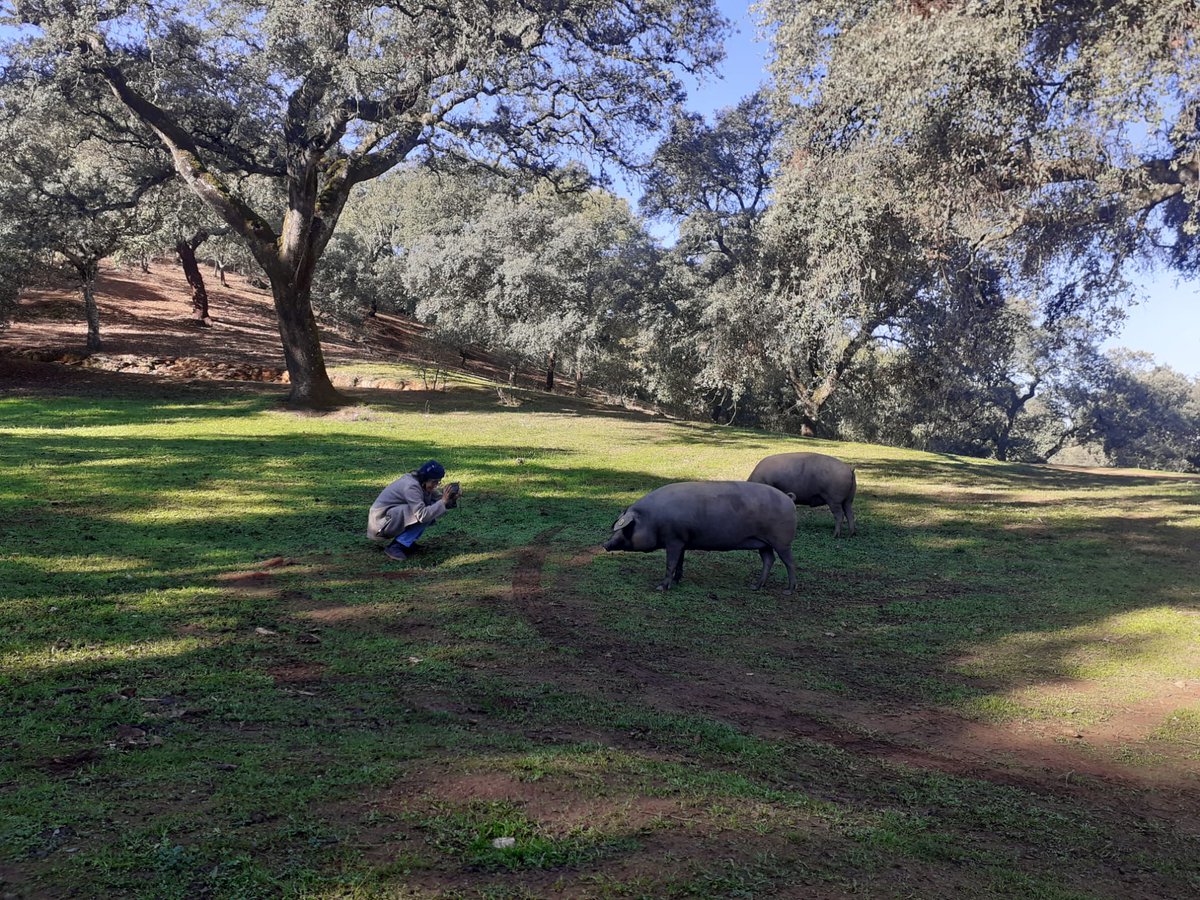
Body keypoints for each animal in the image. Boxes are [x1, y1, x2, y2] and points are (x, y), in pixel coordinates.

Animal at [600, 482, 796, 595]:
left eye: (627, 528)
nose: (605, 544)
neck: (652, 519)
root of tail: (788, 498)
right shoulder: (682, 542)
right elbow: (679, 562)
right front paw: (677, 580)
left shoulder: (674, 540)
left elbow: (670, 563)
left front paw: (661, 588)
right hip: (764, 544)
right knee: (769, 560)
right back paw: (755, 587)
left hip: (782, 541)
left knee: (789, 563)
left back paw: (788, 590)